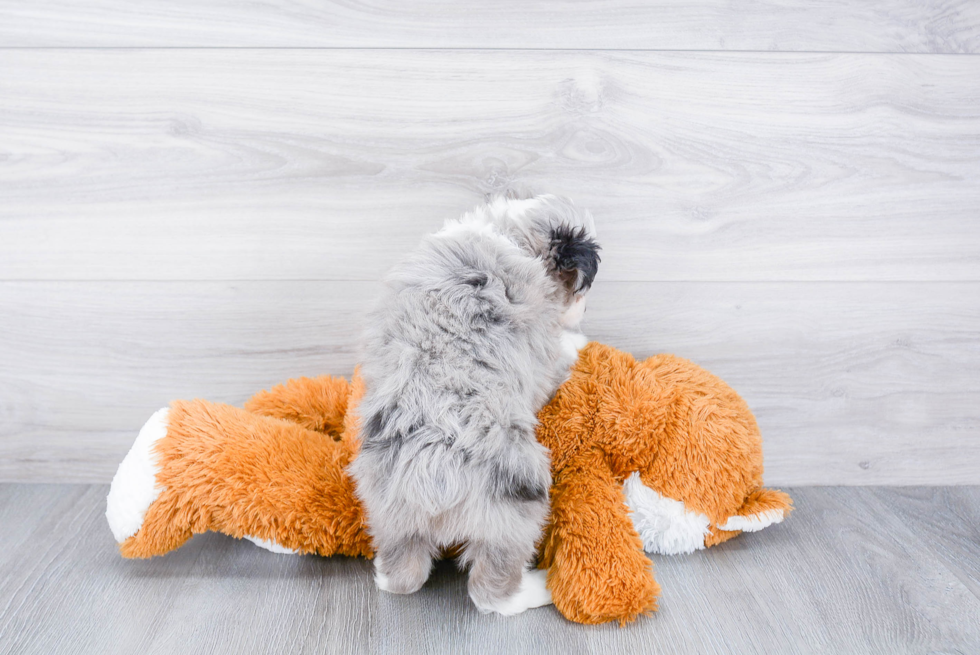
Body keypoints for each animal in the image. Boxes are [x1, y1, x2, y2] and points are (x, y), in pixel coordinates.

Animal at [348, 193, 600, 616]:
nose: (587, 309)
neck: (509, 235)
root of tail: (431, 473)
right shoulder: (543, 356)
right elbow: (561, 353)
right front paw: (578, 341)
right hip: (514, 511)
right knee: (489, 592)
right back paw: (538, 589)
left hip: (388, 511)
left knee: (405, 577)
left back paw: (384, 573)